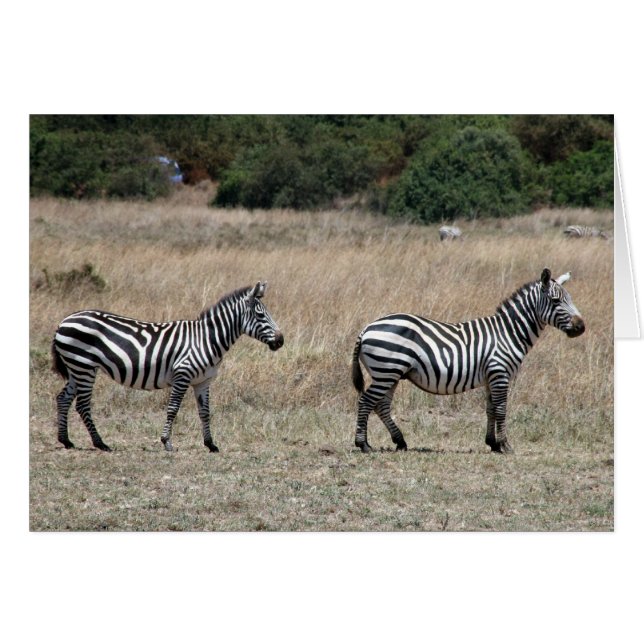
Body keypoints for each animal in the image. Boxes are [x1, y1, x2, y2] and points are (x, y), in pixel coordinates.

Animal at [51, 282, 284, 453]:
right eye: (261, 315)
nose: (281, 341)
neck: (207, 339)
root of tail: (64, 321)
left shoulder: (203, 381)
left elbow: (205, 412)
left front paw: (210, 444)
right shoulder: (183, 374)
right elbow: (173, 409)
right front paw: (167, 442)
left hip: (76, 368)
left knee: (63, 398)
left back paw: (66, 440)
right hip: (84, 366)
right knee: (82, 405)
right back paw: (100, 443)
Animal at [351, 268, 585, 454]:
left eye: (570, 299)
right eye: (556, 301)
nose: (581, 327)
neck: (508, 333)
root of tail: (367, 328)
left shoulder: (491, 377)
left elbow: (491, 409)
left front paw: (493, 444)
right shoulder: (500, 373)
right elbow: (501, 409)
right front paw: (505, 445)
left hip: (390, 374)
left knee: (381, 405)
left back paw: (400, 442)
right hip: (386, 371)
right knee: (366, 401)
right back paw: (363, 444)